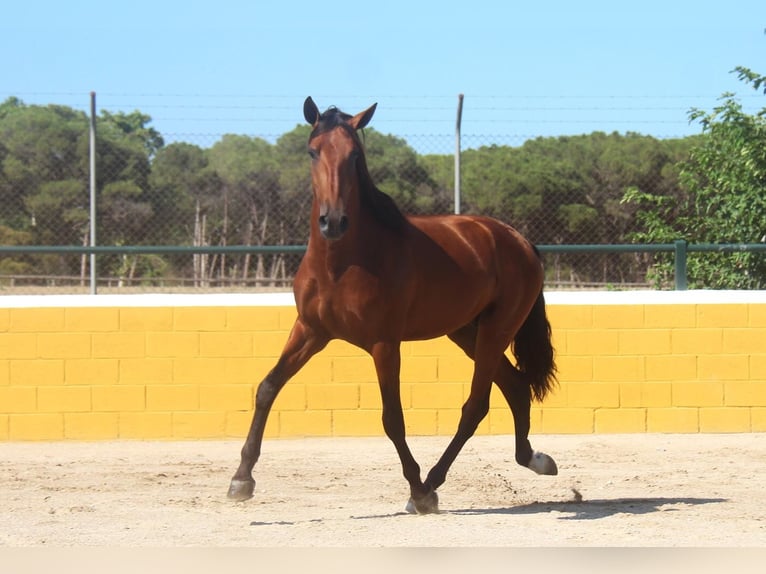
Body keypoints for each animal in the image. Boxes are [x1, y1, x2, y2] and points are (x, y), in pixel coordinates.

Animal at [226, 97, 560, 516]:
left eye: (354, 155)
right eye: (312, 151)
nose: (333, 221)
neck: (341, 265)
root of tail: (518, 239)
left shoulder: (384, 344)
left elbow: (392, 419)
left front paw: (418, 491)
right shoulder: (310, 331)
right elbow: (267, 388)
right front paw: (241, 479)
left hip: (495, 332)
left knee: (476, 406)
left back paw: (433, 483)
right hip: (468, 333)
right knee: (514, 386)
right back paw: (534, 459)